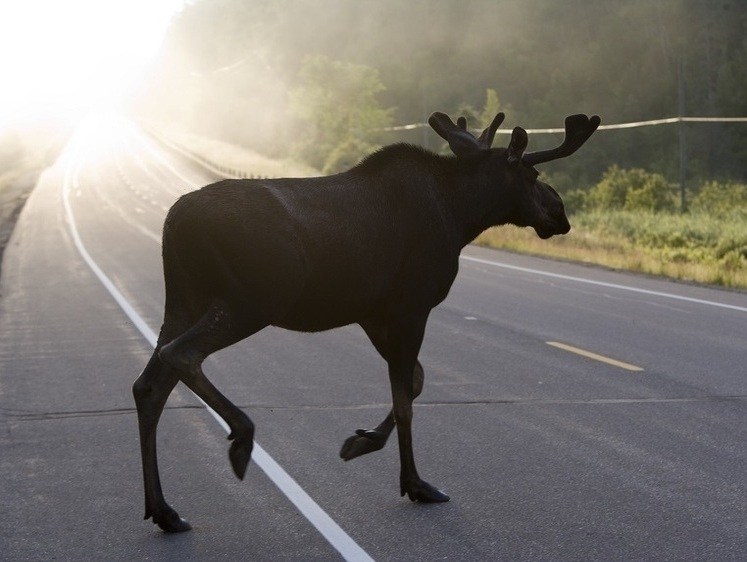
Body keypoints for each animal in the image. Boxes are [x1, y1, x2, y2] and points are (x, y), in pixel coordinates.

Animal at [133, 108, 600, 528]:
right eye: (533, 176)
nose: (560, 213)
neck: (462, 215)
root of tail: (173, 221)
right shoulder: (411, 306)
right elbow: (405, 399)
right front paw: (415, 484)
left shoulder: (374, 314)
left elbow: (415, 382)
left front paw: (362, 441)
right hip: (251, 299)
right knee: (181, 354)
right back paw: (241, 439)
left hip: (184, 301)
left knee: (149, 385)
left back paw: (164, 510)